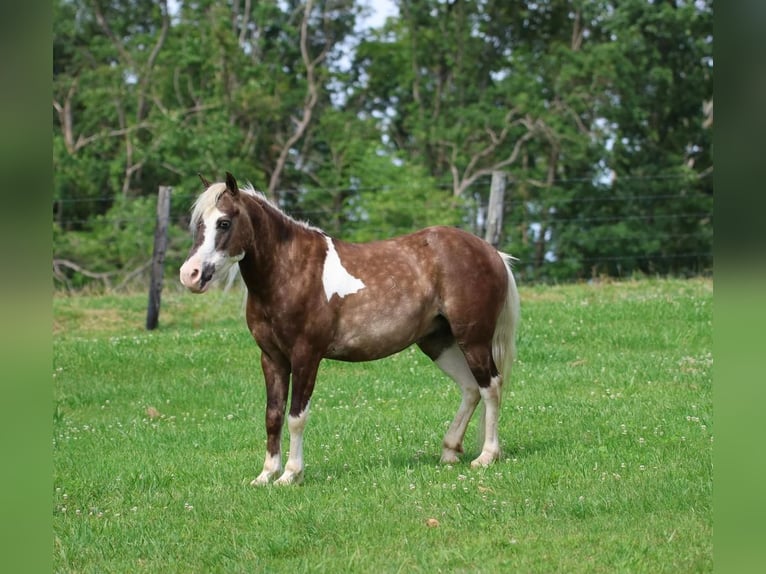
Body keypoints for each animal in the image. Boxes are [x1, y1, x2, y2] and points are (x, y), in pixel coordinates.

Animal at [180, 172, 520, 486]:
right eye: (198, 224)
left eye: (224, 223)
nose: (190, 275)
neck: (290, 270)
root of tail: (492, 253)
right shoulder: (271, 358)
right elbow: (273, 416)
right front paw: (265, 475)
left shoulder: (306, 356)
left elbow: (296, 417)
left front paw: (290, 475)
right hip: (438, 343)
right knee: (470, 388)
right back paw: (449, 451)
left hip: (473, 339)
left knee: (491, 387)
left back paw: (486, 456)